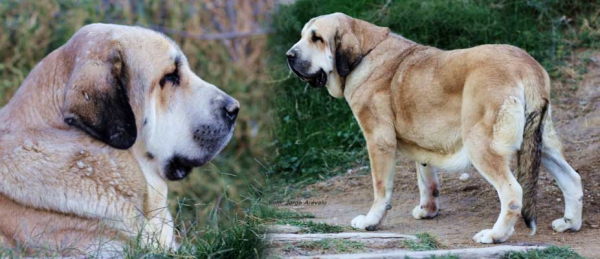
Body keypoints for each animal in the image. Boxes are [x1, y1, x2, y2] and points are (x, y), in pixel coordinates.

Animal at [286, 12, 580, 244]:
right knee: (572, 179)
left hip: (481, 145)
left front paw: (371, 221)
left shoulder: (378, 141)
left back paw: (495, 235)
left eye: (316, 38)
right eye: (302, 36)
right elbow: (426, 178)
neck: (365, 53)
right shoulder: (421, 142)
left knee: (513, 192)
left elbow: (381, 188)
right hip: (541, 142)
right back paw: (569, 223)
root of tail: (526, 65)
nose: (289, 55)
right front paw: (427, 211)